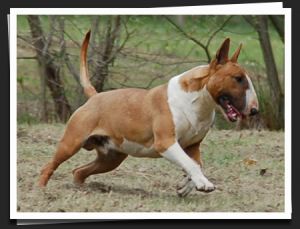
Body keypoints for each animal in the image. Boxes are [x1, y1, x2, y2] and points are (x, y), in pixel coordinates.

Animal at [38, 30, 258, 197]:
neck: (196, 101)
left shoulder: (192, 146)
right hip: (71, 143)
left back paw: (83, 189)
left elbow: (195, 164)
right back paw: (41, 189)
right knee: (49, 166)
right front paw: (203, 183)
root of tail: (95, 96)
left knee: (79, 171)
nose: (255, 110)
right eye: (238, 78)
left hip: (111, 158)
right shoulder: (166, 143)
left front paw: (186, 187)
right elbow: (192, 164)